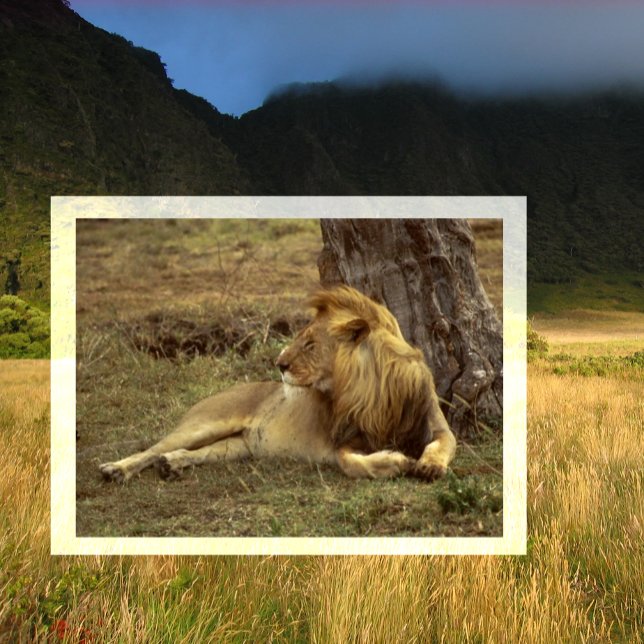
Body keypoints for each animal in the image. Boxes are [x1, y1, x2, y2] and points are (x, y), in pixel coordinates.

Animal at [99, 285, 456, 483]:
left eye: (310, 344)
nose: (279, 364)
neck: (377, 392)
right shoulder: (342, 442)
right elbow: (352, 463)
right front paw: (397, 462)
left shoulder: (436, 423)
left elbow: (441, 444)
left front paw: (428, 465)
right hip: (204, 423)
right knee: (152, 449)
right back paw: (116, 469)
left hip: (237, 447)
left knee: (194, 453)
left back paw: (173, 464)